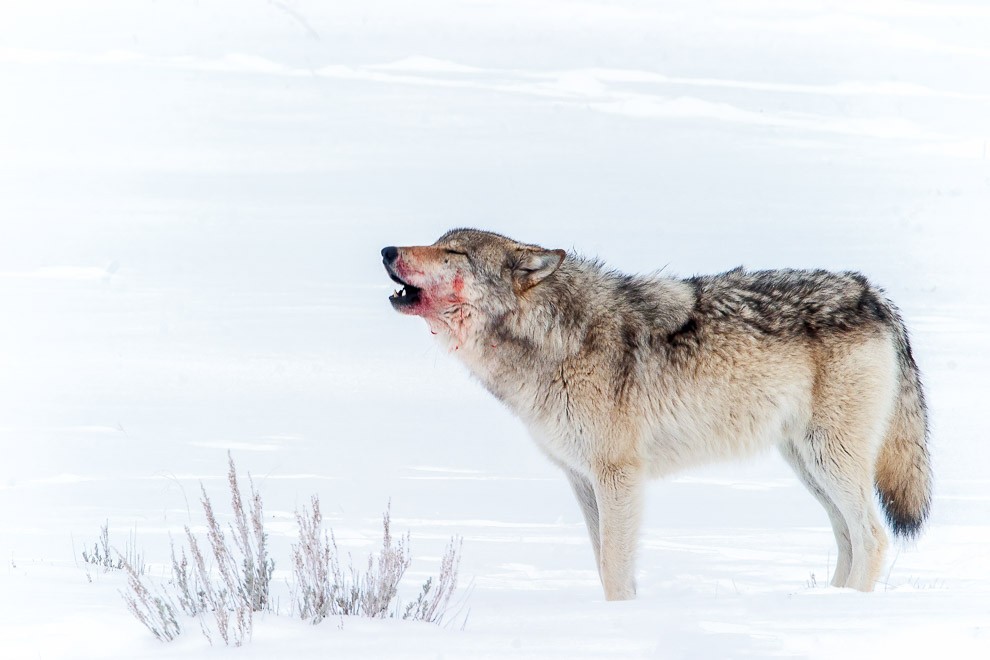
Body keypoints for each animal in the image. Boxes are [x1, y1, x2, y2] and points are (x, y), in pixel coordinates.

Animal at [384, 229, 932, 600]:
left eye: (453, 252)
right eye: (437, 242)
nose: (387, 251)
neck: (555, 338)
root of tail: (874, 295)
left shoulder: (619, 474)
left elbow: (614, 566)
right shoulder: (582, 479)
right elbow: (605, 563)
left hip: (830, 459)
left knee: (872, 537)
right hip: (808, 465)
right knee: (847, 539)